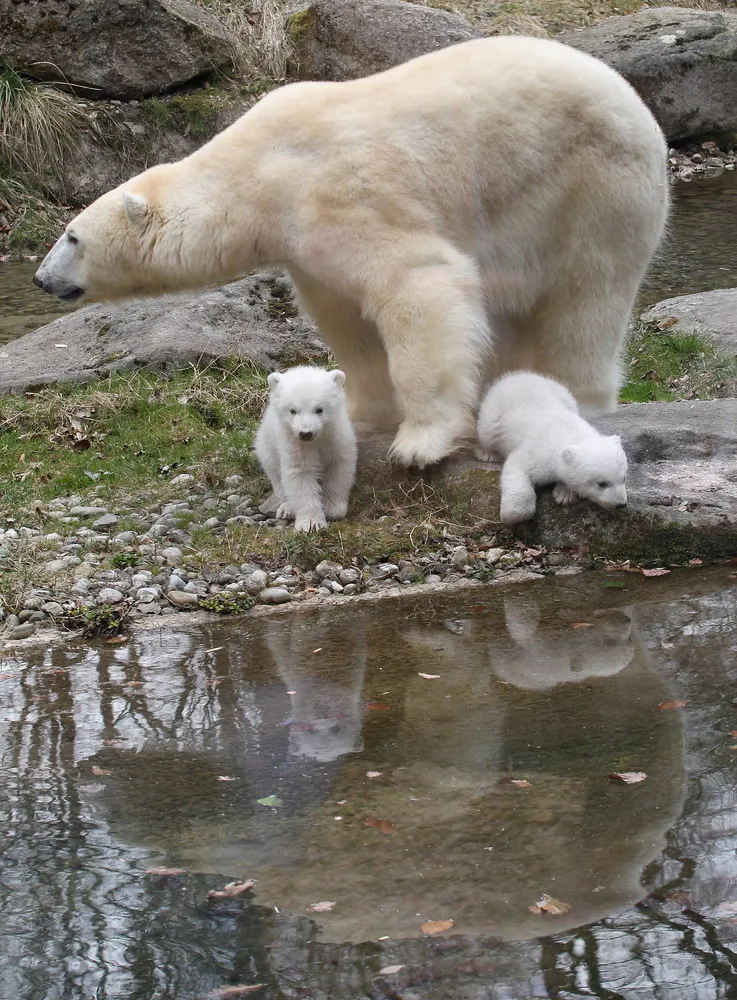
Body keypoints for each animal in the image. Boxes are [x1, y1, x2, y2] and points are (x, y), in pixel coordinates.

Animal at [33, 35, 668, 470]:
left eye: (72, 236)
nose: (41, 278)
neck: (258, 175)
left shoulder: (341, 195)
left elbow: (420, 285)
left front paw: (419, 442)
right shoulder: (305, 250)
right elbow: (346, 322)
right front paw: (361, 415)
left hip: (591, 188)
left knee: (583, 302)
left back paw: (574, 398)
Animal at [254, 365, 357, 533]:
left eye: (320, 409)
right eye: (292, 410)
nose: (306, 433)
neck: (316, 439)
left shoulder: (336, 435)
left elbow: (338, 466)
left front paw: (333, 509)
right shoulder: (294, 443)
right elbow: (301, 474)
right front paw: (311, 523)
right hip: (266, 447)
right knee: (276, 474)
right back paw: (287, 508)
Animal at [475, 370, 628, 524]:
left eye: (624, 478)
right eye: (601, 483)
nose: (621, 504)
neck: (568, 431)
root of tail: (516, 375)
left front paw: (564, 494)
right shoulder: (538, 454)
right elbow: (517, 467)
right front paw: (513, 515)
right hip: (494, 413)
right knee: (487, 432)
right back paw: (487, 454)